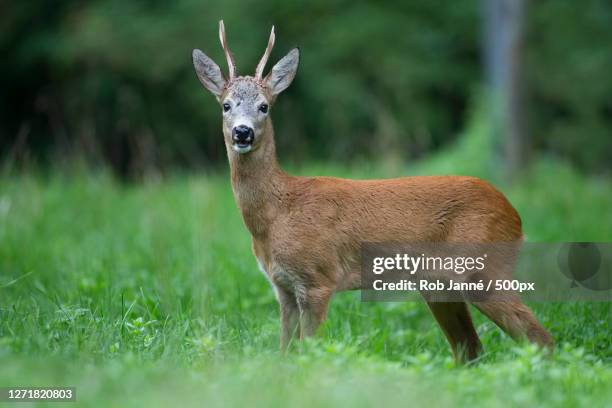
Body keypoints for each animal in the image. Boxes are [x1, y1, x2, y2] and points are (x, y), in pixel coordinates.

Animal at [192, 20, 556, 362]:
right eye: (226, 105)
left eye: (264, 106)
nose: (243, 133)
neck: (278, 213)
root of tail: (515, 216)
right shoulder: (282, 286)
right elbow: (285, 351)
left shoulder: (318, 278)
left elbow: (308, 349)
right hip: (440, 284)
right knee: (471, 348)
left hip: (482, 269)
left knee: (539, 337)